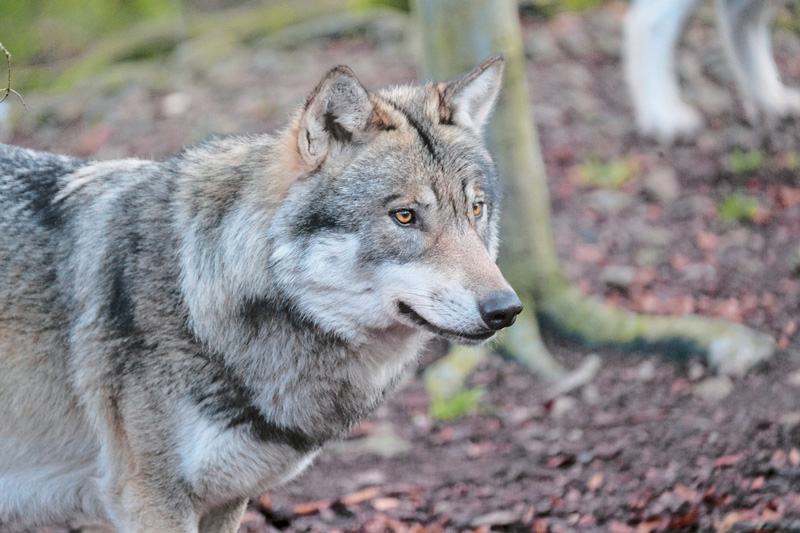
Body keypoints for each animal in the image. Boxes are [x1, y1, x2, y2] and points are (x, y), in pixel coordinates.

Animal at [0, 57, 520, 532]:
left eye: (476, 209)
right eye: (405, 216)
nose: (506, 310)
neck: (196, 301)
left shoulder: (228, 498)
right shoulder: (149, 500)